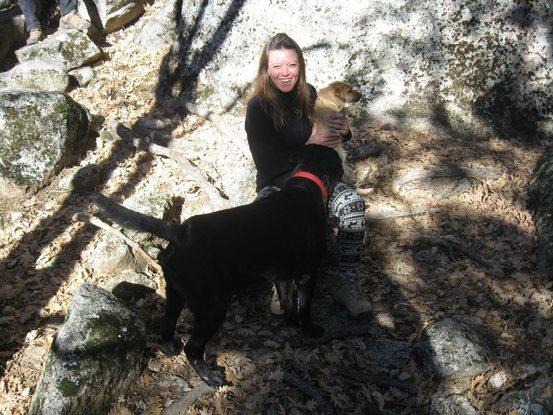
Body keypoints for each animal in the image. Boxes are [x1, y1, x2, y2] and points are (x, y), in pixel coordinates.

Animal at [80, 145, 342, 386]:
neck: (305, 186)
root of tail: (180, 231)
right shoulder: (308, 274)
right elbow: (304, 307)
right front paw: (310, 329)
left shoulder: (282, 274)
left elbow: (288, 301)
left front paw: (290, 321)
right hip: (213, 306)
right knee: (193, 348)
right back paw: (210, 377)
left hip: (176, 293)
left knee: (167, 326)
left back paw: (170, 348)